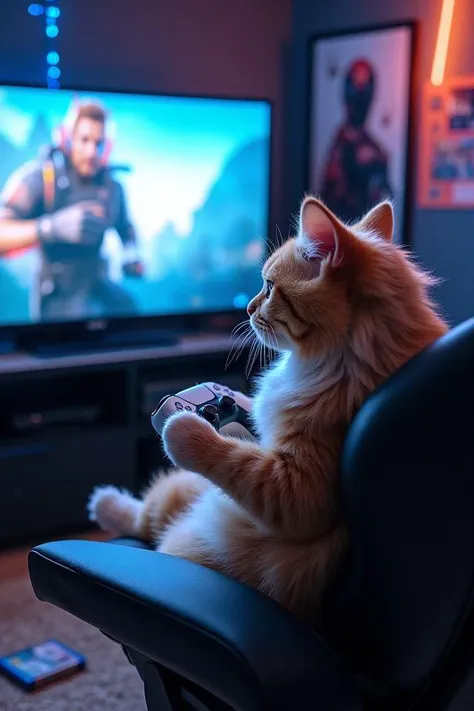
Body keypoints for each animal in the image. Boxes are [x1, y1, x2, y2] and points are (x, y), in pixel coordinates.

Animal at [89, 197, 448, 620]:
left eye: (270, 287)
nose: (245, 308)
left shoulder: (298, 493)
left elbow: (230, 456)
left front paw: (181, 424)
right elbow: (245, 417)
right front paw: (224, 396)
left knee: (151, 522)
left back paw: (105, 501)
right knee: (147, 516)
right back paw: (105, 502)